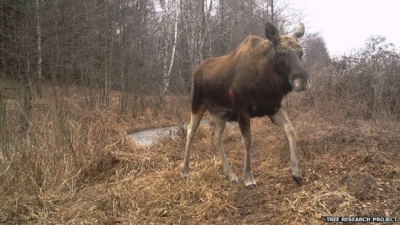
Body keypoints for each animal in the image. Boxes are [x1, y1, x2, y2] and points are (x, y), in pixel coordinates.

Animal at [183, 22, 310, 188]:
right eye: (282, 53)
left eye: (301, 53)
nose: (303, 81)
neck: (268, 82)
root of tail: (196, 70)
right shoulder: (243, 109)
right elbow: (247, 140)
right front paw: (248, 177)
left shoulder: (273, 108)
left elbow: (290, 128)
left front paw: (296, 173)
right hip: (197, 103)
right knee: (190, 130)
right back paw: (185, 169)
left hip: (222, 114)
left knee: (216, 136)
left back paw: (230, 175)